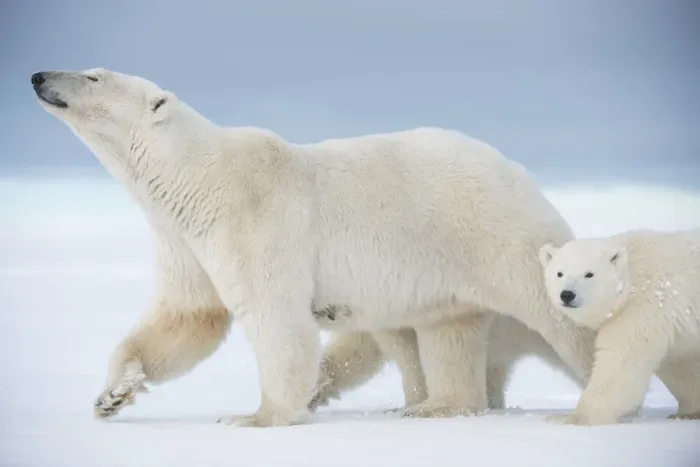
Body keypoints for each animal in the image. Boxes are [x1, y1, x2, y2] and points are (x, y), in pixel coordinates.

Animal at [31, 67, 596, 428]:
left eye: (94, 76)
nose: (38, 76)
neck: (198, 179)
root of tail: (521, 175)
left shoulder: (255, 219)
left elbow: (273, 315)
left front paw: (256, 416)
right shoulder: (182, 240)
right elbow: (187, 316)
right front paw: (112, 394)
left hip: (495, 237)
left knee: (558, 317)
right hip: (443, 275)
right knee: (443, 332)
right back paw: (431, 405)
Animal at [539, 228, 700, 425]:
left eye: (589, 274)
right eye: (559, 273)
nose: (567, 294)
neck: (632, 281)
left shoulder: (642, 307)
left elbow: (620, 360)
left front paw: (572, 417)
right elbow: (682, 365)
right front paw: (688, 412)